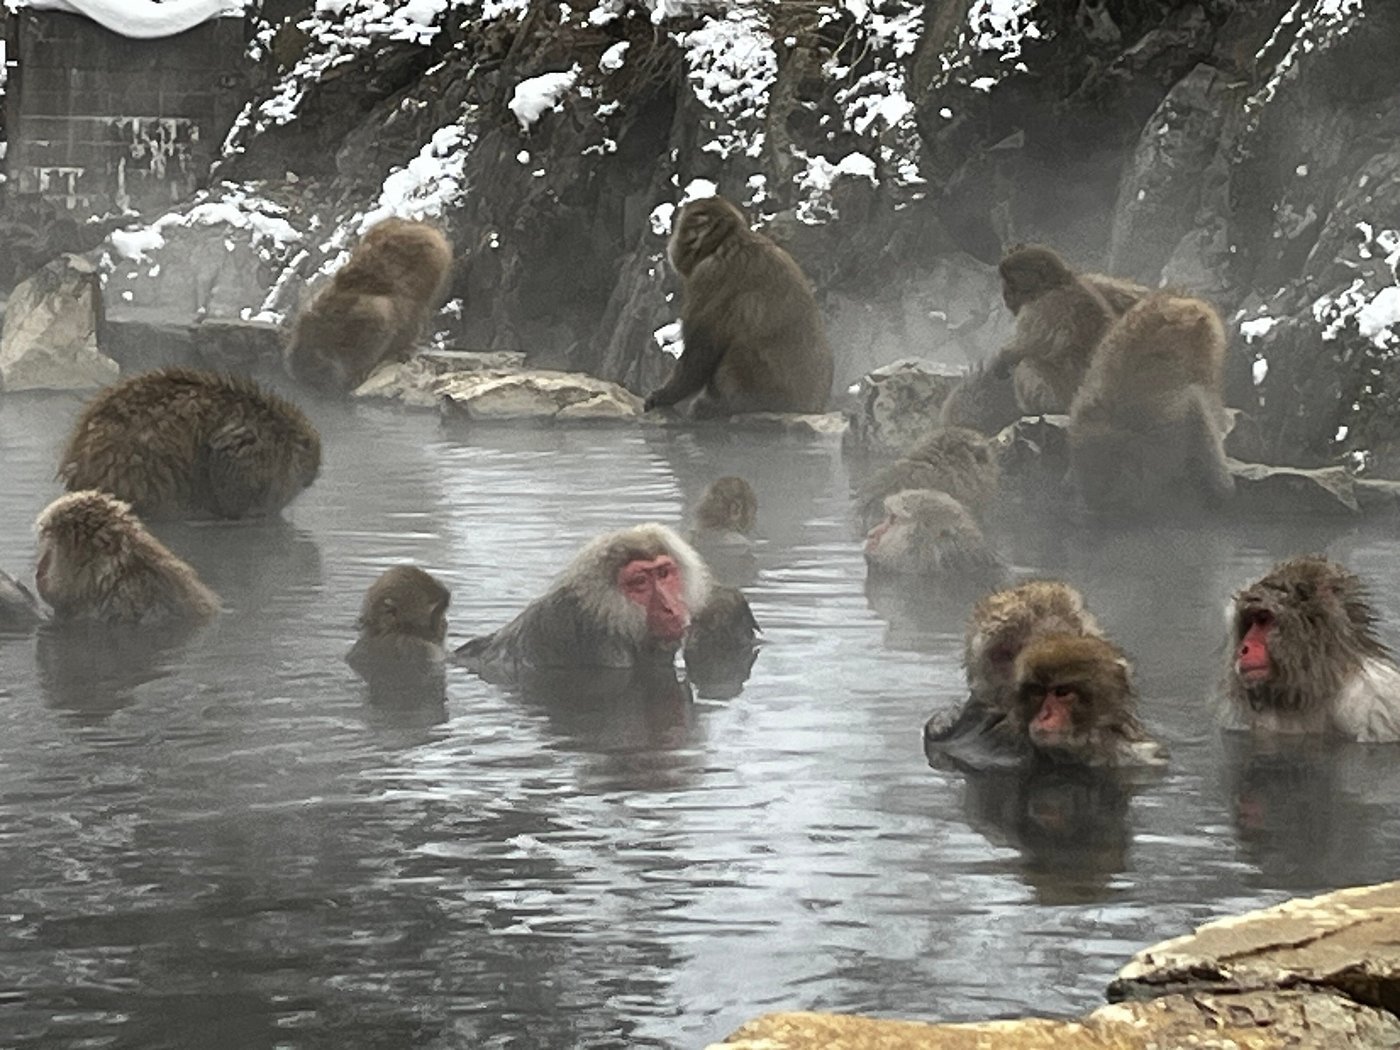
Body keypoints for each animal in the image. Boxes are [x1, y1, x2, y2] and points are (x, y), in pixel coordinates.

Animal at [644, 195, 834, 417]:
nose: (673, 243)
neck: (725, 241)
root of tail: (811, 408)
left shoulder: (708, 276)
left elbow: (702, 349)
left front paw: (664, 396)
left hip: (765, 391)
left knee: (738, 348)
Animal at [991, 244, 1116, 413]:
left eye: (1011, 281)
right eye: (1005, 281)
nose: (1006, 295)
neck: (1054, 285)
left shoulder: (1040, 308)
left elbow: (1029, 344)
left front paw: (1002, 357)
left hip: (1059, 396)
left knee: (1027, 363)